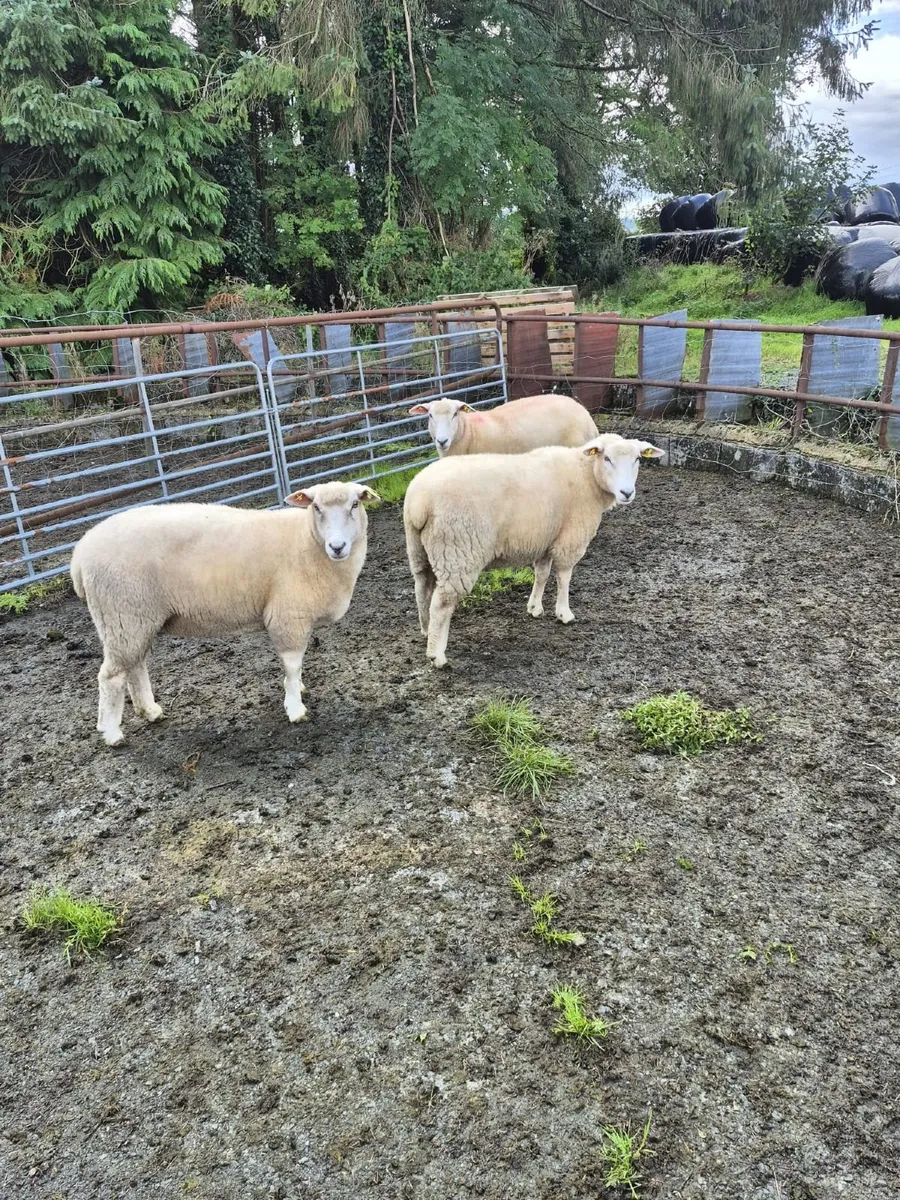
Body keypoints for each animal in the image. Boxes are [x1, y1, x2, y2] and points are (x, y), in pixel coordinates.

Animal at [70, 481, 380, 746]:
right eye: (316, 507)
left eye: (355, 504)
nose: (337, 547)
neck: (306, 541)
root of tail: (79, 554)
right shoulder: (288, 616)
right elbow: (292, 666)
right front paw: (295, 708)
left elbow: (297, 667)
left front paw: (299, 690)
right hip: (122, 615)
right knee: (110, 677)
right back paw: (112, 733)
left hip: (136, 618)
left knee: (135, 666)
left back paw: (150, 710)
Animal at [403, 433, 663, 668]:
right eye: (607, 458)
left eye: (637, 459)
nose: (627, 493)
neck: (586, 475)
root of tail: (418, 500)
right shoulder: (570, 539)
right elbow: (564, 577)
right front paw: (564, 613)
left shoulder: (545, 540)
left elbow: (542, 575)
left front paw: (535, 608)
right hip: (458, 551)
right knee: (442, 603)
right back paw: (437, 655)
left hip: (420, 550)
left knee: (422, 589)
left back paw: (426, 631)